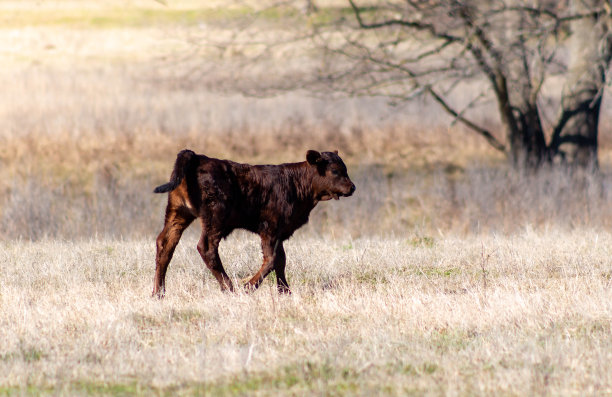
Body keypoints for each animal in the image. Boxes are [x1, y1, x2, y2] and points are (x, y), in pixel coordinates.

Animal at [151, 150, 356, 296]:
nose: (352, 187)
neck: (296, 183)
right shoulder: (270, 228)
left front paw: (285, 292)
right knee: (206, 247)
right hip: (214, 218)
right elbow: (271, 260)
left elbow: (281, 260)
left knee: (165, 244)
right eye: (335, 170)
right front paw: (249, 287)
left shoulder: (280, 232)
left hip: (178, 214)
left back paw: (158, 293)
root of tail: (197, 157)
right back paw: (230, 288)